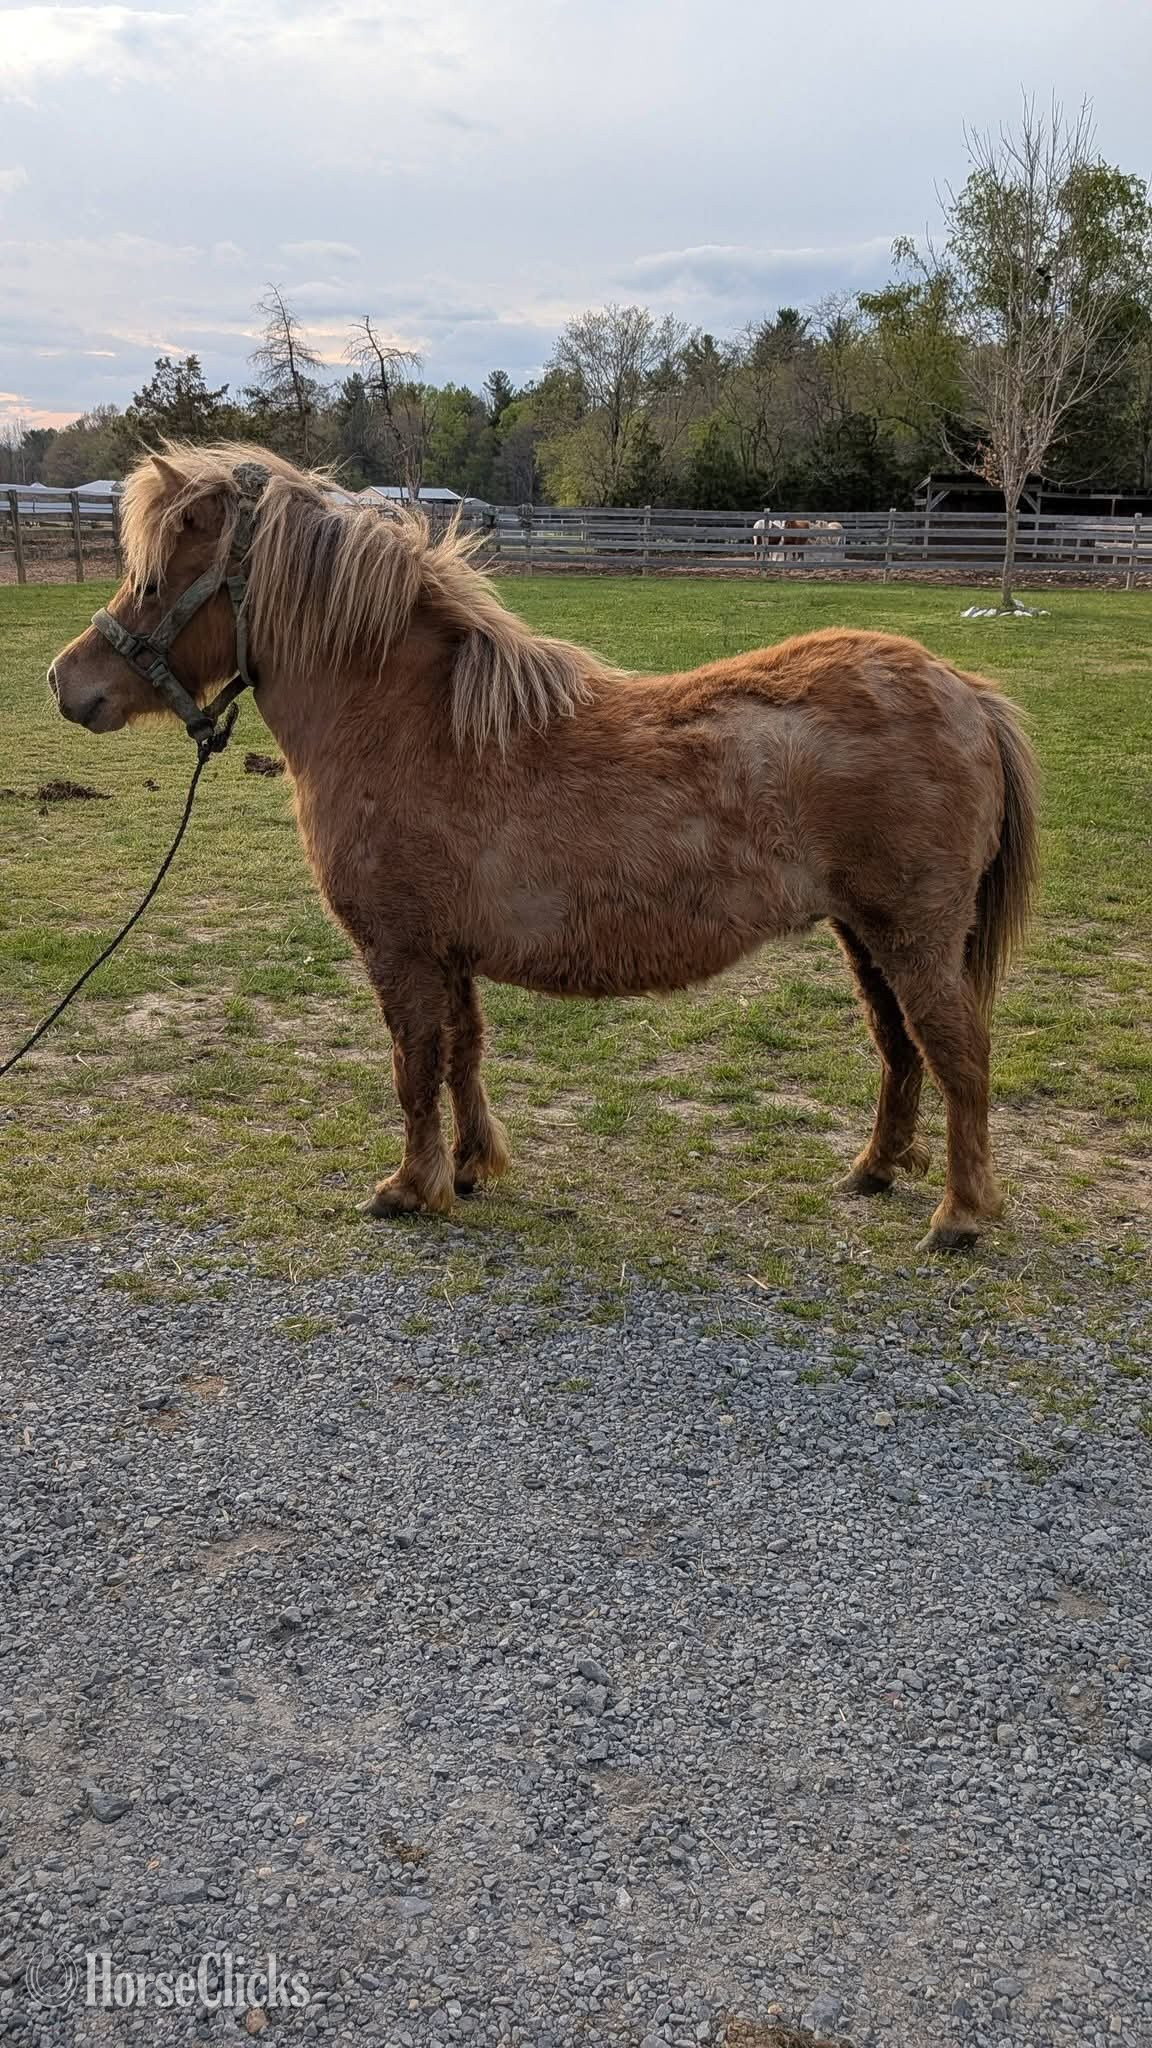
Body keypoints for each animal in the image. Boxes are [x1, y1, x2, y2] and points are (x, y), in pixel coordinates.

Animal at [47, 445, 1038, 1251]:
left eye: (150, 579)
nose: (65, 682)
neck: (409, 722)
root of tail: (966, 692)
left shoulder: (400, 952)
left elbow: (413, 1068)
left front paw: (410, 1187)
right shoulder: (447, 954)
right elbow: (462, 1056)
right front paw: (470, 1169)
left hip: (912, 936)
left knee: (958, 1053)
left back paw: (959, 1216)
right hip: (863, 935)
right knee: (899, 1049)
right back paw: (874, 1170)